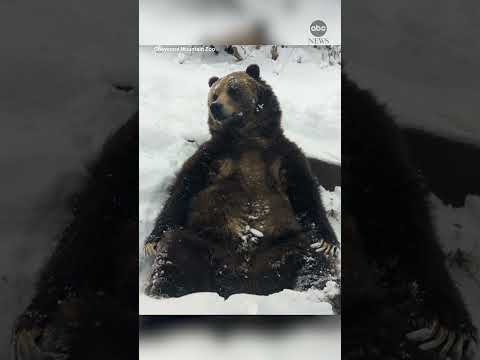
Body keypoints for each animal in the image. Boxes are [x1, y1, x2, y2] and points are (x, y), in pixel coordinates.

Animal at [144, 64, 340, 298]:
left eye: (233, 89)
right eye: (214, 95)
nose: (216, 107)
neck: (248, 139)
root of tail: (242, 283)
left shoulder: (283, 155)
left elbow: (305, 193)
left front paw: (329, 243)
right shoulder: (213, 156)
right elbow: (183, 189)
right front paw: (151, 242)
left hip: (281, 246)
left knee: (311, 255)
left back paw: (320, 291)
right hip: (207, 241)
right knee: (176, 249)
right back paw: (165, 292)